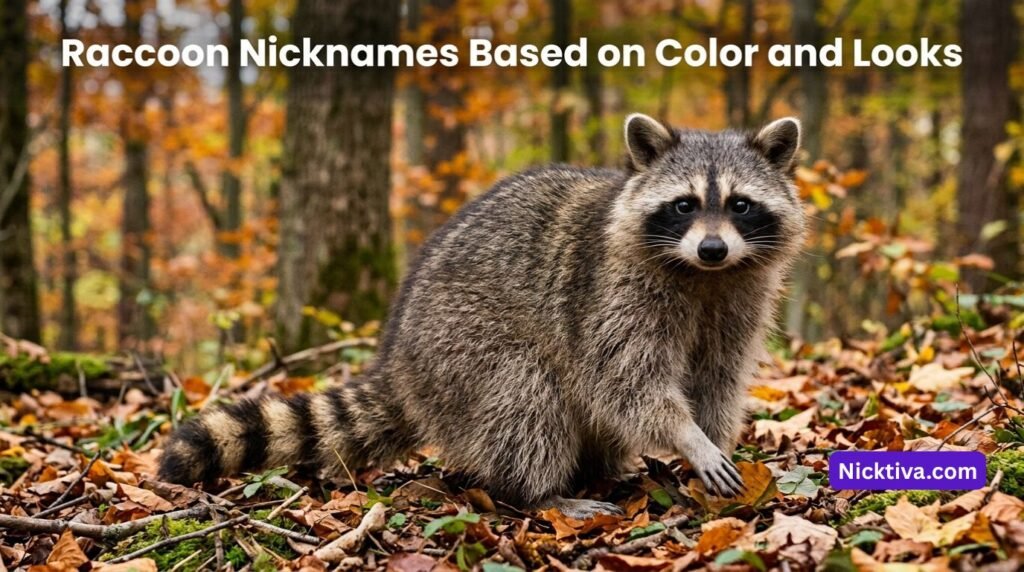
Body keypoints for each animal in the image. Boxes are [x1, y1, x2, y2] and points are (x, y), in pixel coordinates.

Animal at [159, 114, 805, 519]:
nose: (713, 248)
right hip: (460, 345)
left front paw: (710, 439)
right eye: (685, 205)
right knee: (524, 398)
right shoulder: (610, 295)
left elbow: (716, 377)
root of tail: (399, 359)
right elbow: (626, 381)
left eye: (740, 205)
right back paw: (538, 493)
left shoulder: (739, 297)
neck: (703, 276)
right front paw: (687, 437)